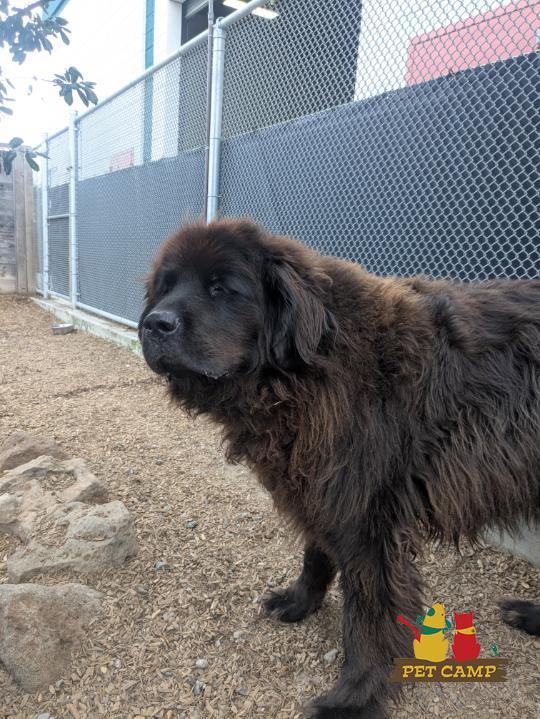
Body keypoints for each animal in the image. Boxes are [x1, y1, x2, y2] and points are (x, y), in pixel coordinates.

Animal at [139, 219, 540, 718]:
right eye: (165, 287)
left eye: (221, 289)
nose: (153, 324)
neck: (310, 367)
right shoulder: (320, 487)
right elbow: (315, 554)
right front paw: (300, 603)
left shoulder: (369, 520)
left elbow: (368, 616)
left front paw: (355, 699)